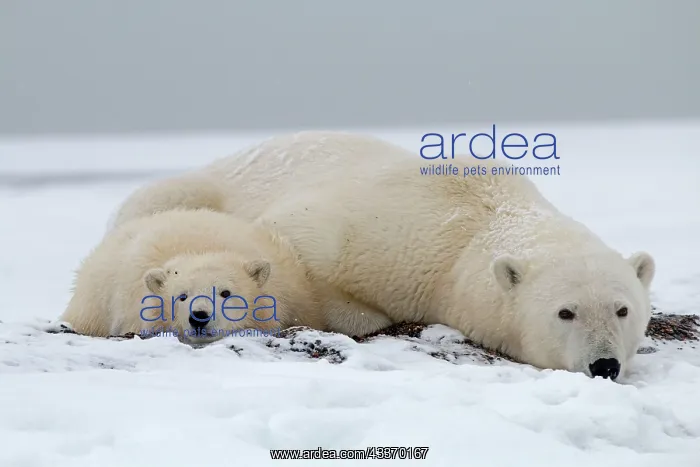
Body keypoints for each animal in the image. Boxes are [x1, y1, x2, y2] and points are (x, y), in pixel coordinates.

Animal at [110, 131, 655, 379]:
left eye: (622, 309)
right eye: (566, 312)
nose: (604, 365)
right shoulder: (389, 233)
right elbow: (291, 240)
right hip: (191, 187)